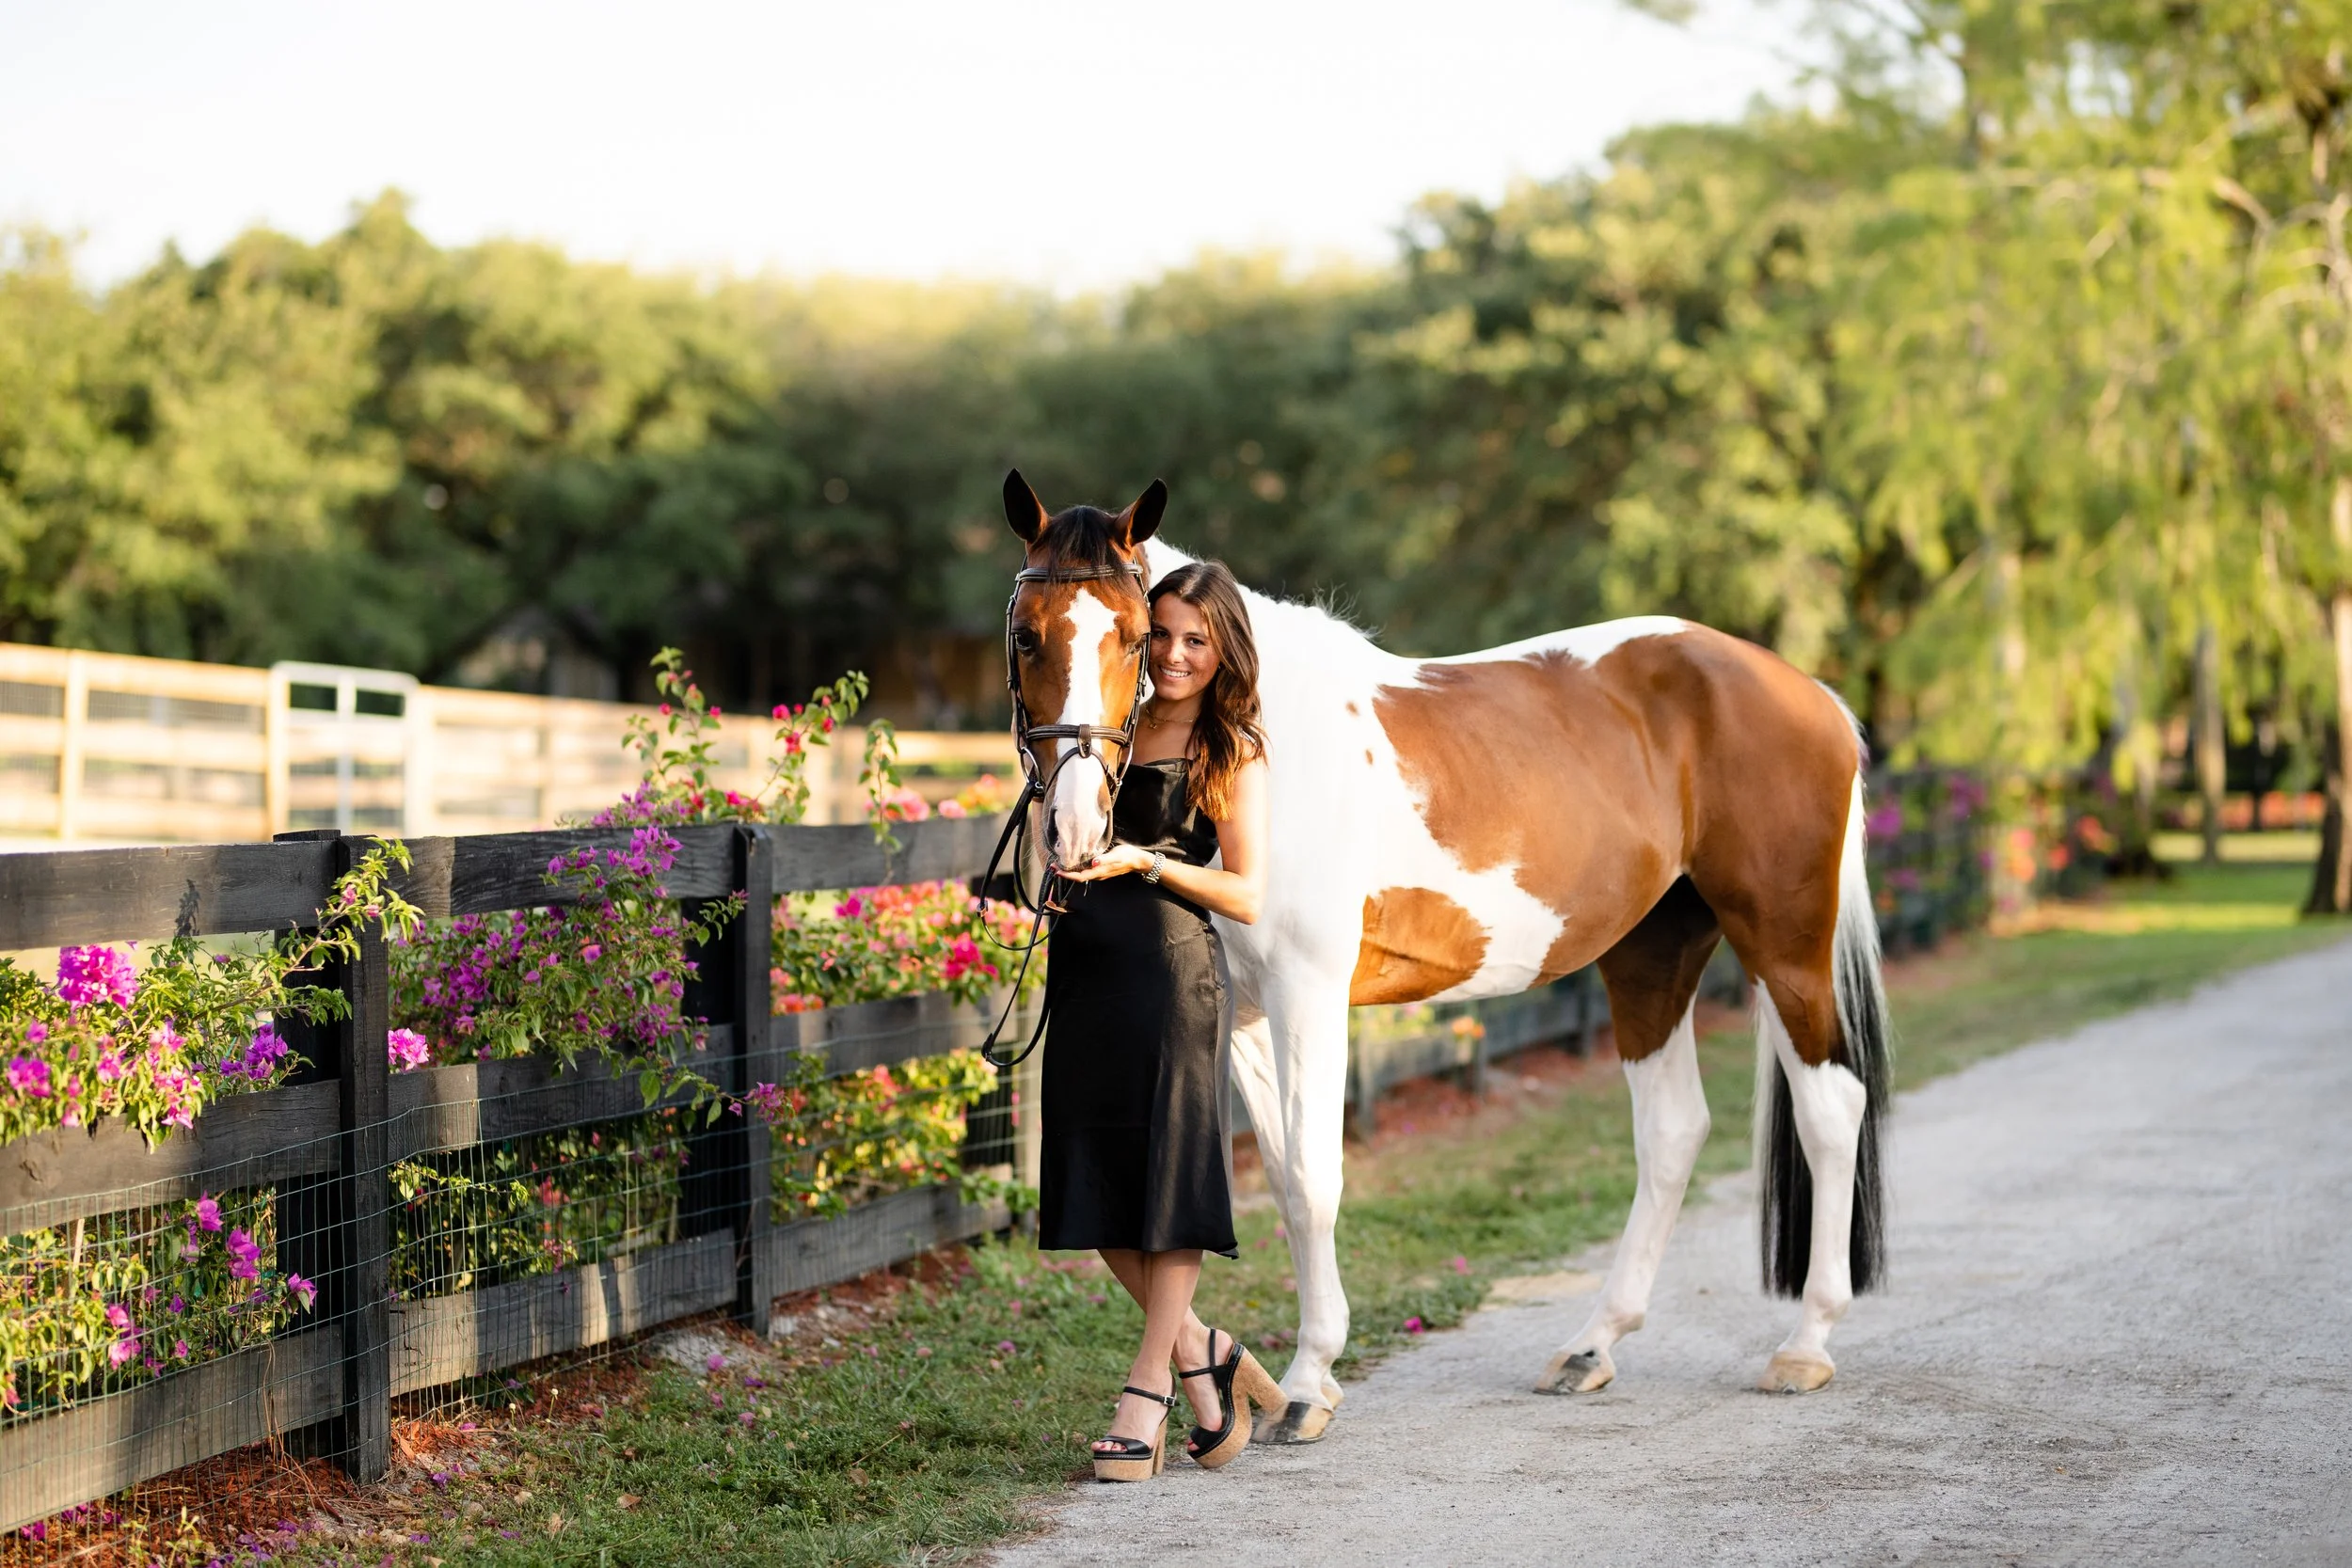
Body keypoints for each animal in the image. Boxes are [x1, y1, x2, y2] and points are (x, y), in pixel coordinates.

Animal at [999, 471, 1891, 1443]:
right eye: (1026, 634)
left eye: (1136, 636)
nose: (1076, 827)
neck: (1257, 733)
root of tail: (1811, 694)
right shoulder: (1245, 1017)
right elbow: (1279, 1179)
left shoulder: (1310, 994)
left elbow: (1313, 1177)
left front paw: (1306, 1384)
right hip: (1652, 953)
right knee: (1672, 1128)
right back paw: (1592, 1345)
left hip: (1784, 943)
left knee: (1830, 1109)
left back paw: (1804, 1344)